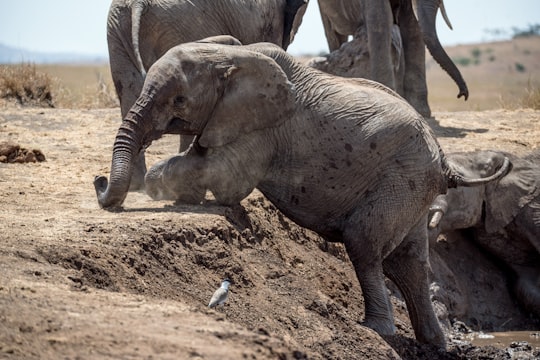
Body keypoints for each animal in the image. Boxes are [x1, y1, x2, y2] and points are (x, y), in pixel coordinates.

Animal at [93, 35, 510, 346]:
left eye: (179, 99)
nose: (99, 183)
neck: (234, 56)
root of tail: (443, 160)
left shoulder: (266, 128)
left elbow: (222, 174)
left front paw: (160, 187)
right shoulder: (229, 117)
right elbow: (203, 160)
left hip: (400, 180)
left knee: (365, 246)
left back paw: (375, 329)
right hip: (411, 190)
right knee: (408, 262)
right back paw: (433, 344)